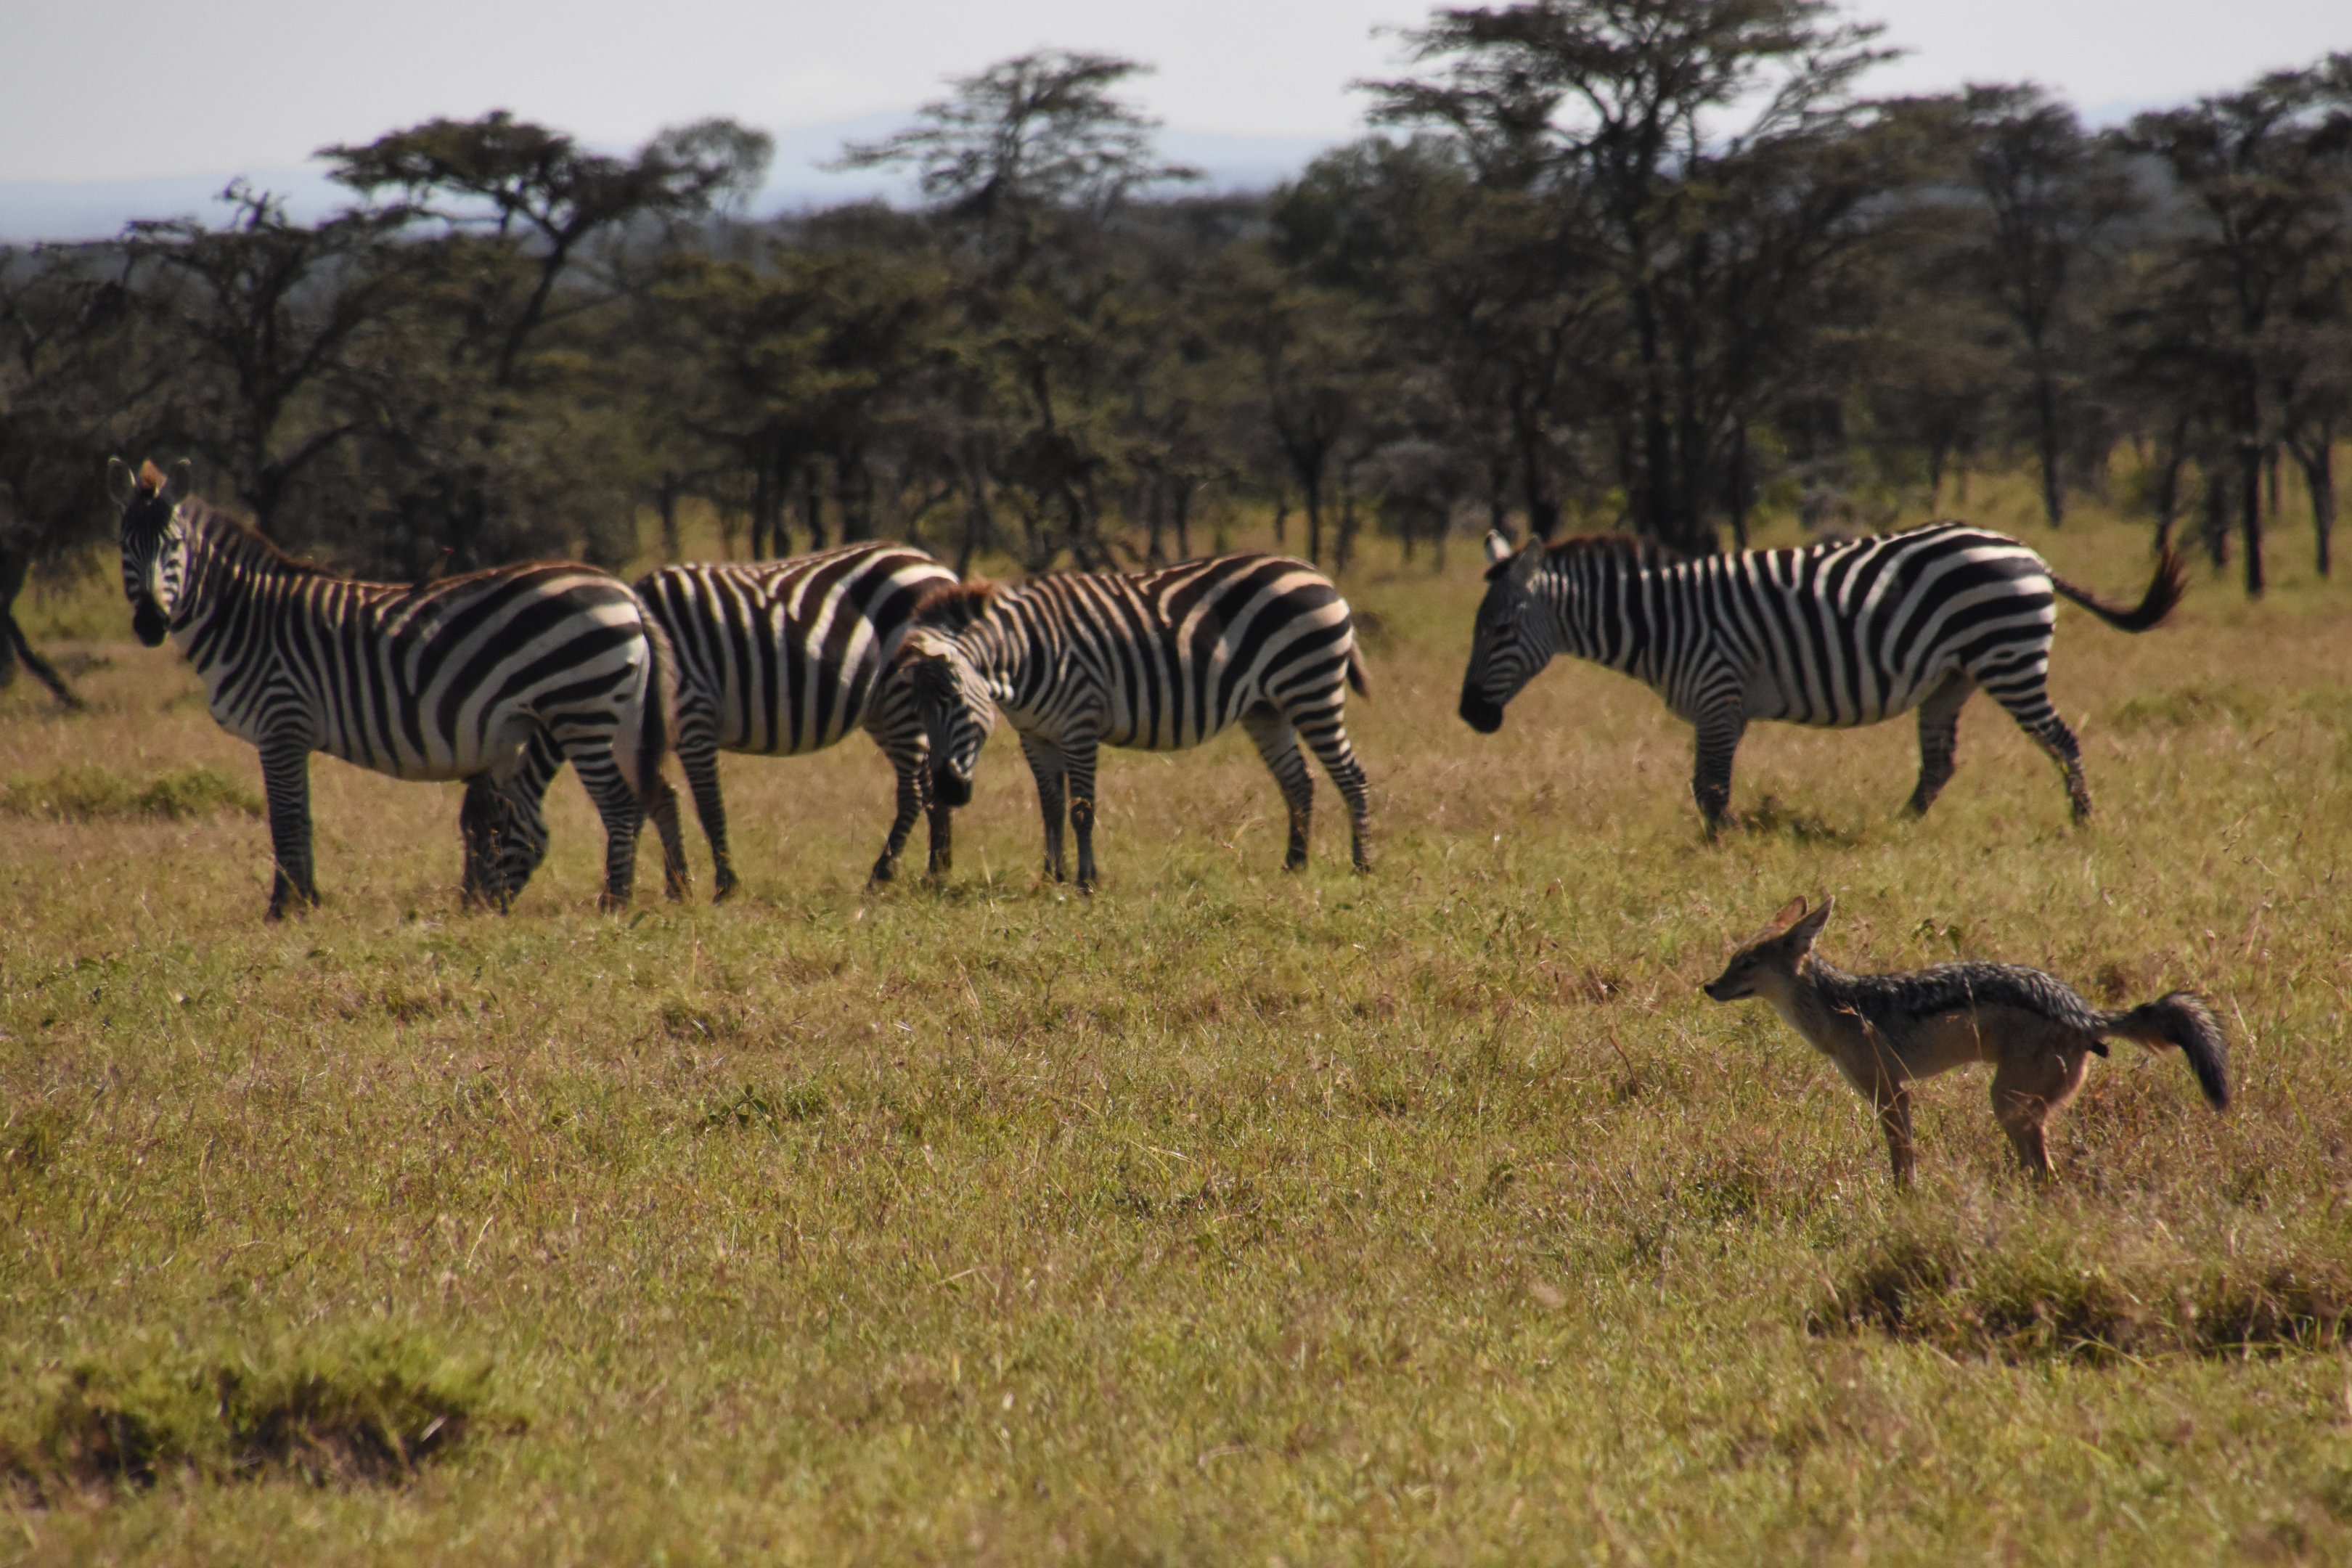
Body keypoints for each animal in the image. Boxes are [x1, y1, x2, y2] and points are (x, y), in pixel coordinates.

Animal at [109, 458, 687, 917]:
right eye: (123, 548)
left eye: (175, 546)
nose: (150, 624)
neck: (245, 620)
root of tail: (622, 590)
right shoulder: (289, 732)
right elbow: (300, 819)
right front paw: (308, 902)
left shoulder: (281, 721)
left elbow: (287, 820)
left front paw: (285, 909)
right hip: (620, 713)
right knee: (651, 794)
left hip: (580, 709)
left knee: (619, 804)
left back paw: (614, 904)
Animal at [485, 543, 960, 901]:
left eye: (489, 832)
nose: (478, 906)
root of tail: (938, 567)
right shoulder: (640, 738)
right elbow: (655, 801)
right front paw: (675, 886)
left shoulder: (693, 718)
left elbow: (708, 807)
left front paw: (724, 887)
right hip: (886, 709)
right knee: (930, 782)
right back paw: (937, 870)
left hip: (901, 699)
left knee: (913, 790)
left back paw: (882, 875)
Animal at [895, 553, 1372, 890]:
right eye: (917, 710)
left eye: (956, 700)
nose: (950, 791)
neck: (1023, 657)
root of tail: (1315, 573)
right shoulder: (1035, 736)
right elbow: (1050, 808)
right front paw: (1052, 876)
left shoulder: (1079, 725)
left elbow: (1081, 809)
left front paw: (1086, 881)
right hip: (1267, 708)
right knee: (1299, 781)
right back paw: (1295, 864)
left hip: (1310, 687)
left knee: (1352, 776)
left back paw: (1362, 863)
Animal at [1458, 523, 2184, 829]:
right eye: (1476, 627)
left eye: (1500, 631)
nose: (1471, 715)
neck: (1662, 622)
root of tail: (2028, 553)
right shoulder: (1722, 707)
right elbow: (1706, 785)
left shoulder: (1719, 693)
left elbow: (1710, 788)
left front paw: (1721, 846)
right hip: (1952, 678)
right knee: (1940, 763)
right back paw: (1898, 829)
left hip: (2009, 657)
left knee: (2061, 740)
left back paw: (2083, 822)